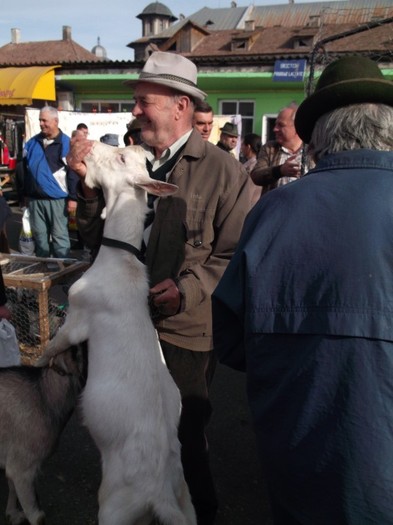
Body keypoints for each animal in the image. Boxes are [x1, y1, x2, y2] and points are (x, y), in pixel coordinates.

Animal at [37, 143, 195, 524]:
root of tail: (159, 494)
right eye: (136, 158)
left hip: (115, 508)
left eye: (121, 158)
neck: (120, 262)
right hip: (185, 499)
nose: (89, 146)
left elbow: (55, 345)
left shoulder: (79, 316)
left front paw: (38, 361)